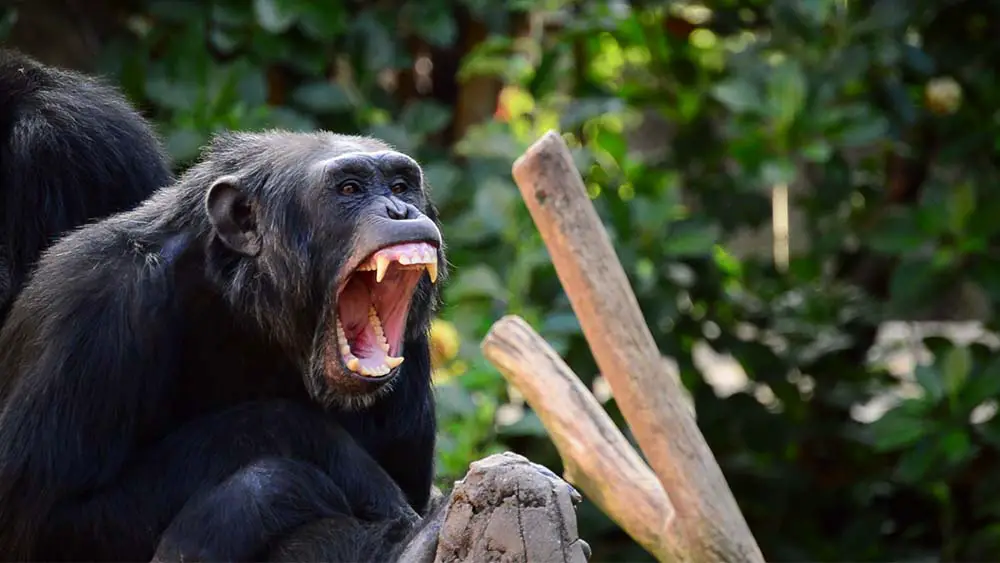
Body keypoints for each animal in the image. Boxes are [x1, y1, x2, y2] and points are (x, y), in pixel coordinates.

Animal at [0, 104, 452, 560]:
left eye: (400, 186)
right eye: (349, 189)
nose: (399, 210)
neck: (245, 299)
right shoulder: (93, 307)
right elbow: (47, 519)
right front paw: (310, 463)